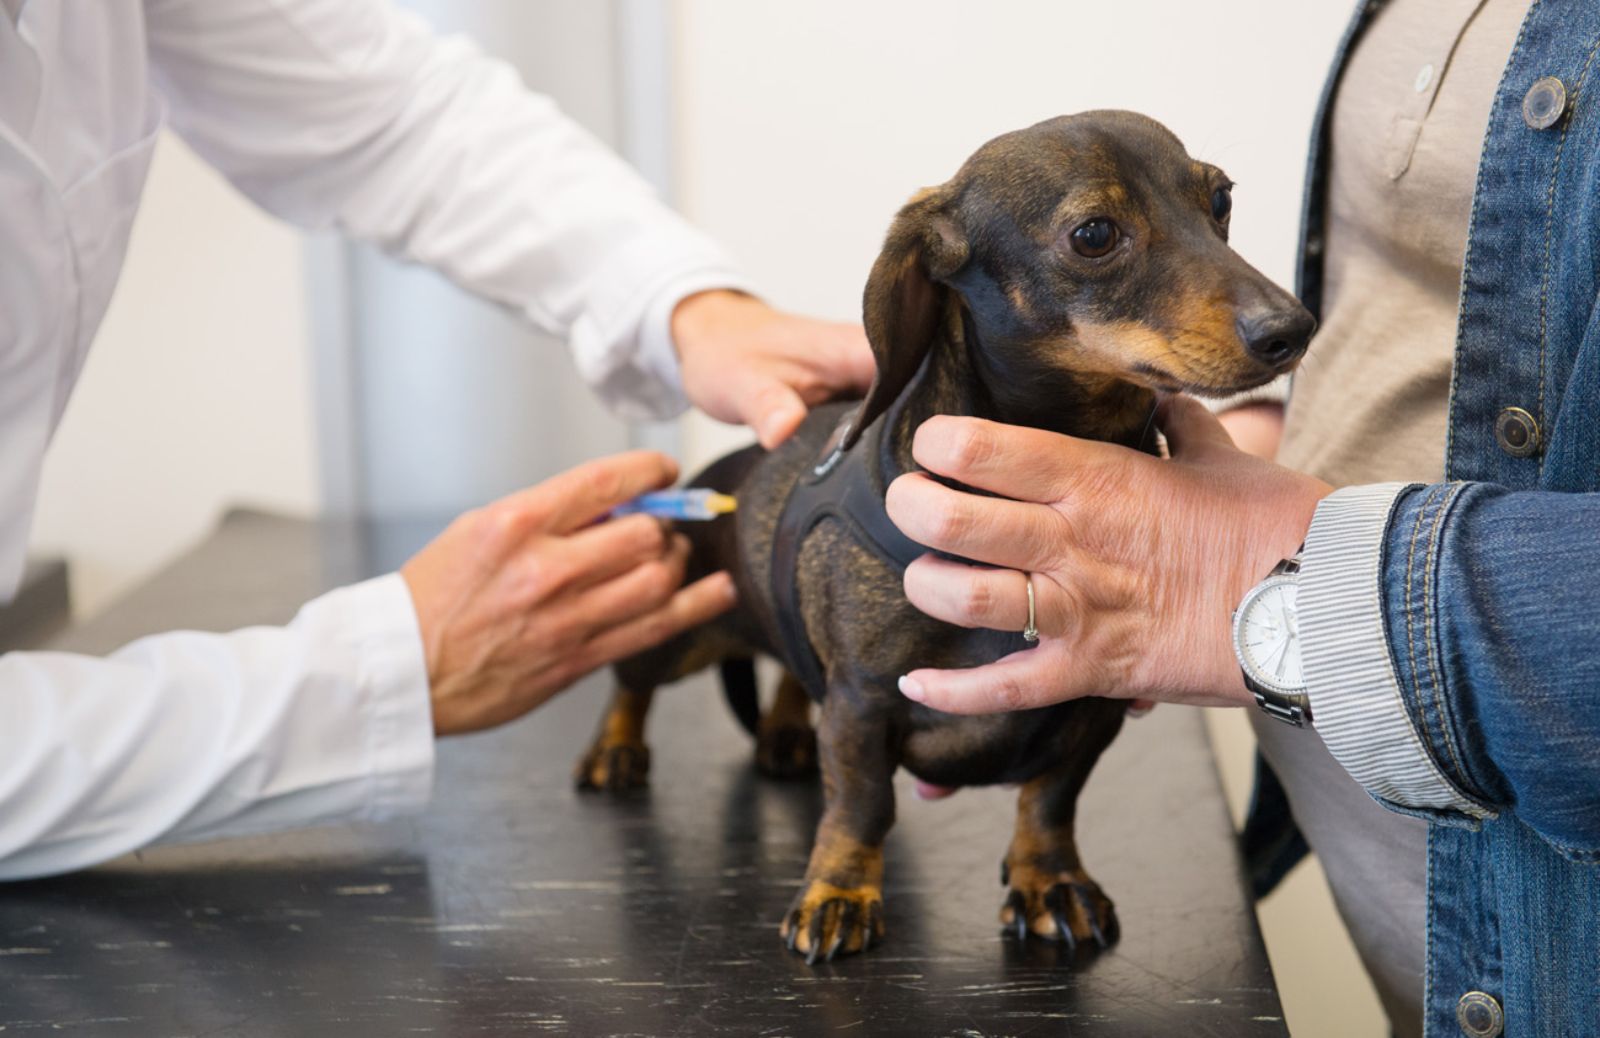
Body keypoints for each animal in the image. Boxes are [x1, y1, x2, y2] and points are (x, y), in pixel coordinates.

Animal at [576, 111, 1312, 966]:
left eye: (1220, 199)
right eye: (1095, 234)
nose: (1293, 329)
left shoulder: (1092, 703)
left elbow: (1051, 801)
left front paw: (1049, 880)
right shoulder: (862, 702)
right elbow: (862, 805)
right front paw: (838, 892)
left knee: (791, 672)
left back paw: (786, 733)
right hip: (683, 627)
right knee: (633, 681)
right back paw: (615, 749)